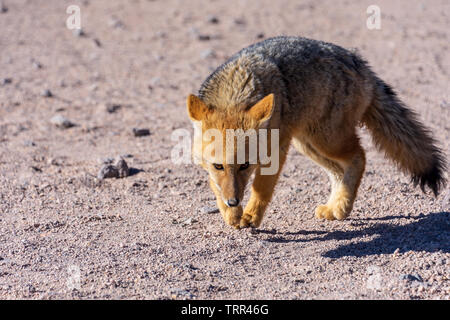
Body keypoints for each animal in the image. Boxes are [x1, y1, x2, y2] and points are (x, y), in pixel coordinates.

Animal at [185, 36, 446, 229]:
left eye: (245, 165)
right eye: (219, 166)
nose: (234, 201)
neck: (235, 92)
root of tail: (360, 63)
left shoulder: (276, 150)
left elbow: (261, 187)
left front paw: (250, 215)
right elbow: (214, 185)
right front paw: (231, 213)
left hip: (326, 140)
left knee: (359, 156)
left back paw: (342, 207)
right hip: (308, 144)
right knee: (340, 171)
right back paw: (335, 207)